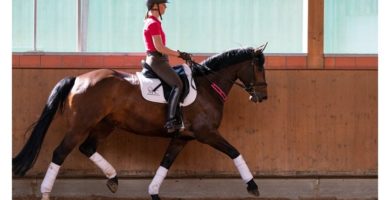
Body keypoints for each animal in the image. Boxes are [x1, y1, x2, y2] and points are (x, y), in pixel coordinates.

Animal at [12, 45, 268, 200]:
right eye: (258, 67)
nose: (262, 97)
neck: (207, 85)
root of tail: (78, 79)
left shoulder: (182, 137)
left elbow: (165, 163)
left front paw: (153, 191)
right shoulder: (207, 133)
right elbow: (235, 152)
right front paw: (252, 186)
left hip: (105, 124)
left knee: (87, 148)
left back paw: (113, 179)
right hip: (80, 126)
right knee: (60, 153)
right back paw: (46, 192)